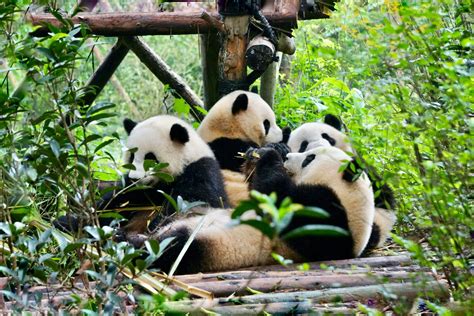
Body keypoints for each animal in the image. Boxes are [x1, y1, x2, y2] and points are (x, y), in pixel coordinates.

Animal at [54, 115, 229, 237]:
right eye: (132, 157)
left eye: (150, 158)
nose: (135, 178)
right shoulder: (132, 190)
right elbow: (114, 203)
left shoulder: (200, 172)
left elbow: (190, 204)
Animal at [147, 146, 374, 274]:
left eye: (310, 158)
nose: (288, 156)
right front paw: (255, 156)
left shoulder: (331, 220)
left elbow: (282, 203)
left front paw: (268, 155)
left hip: (208, 246)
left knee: (174, 248)